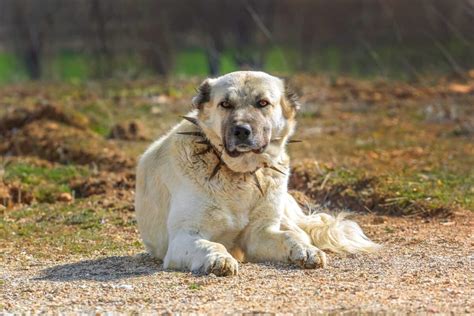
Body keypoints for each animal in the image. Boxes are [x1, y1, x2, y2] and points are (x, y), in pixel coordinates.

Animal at [135, 71, 380, 276]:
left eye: (263, 103)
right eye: (225, 104)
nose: (242, 130)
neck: (238, 175)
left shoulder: (260, 233)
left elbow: (288, 237)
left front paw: (306, 251)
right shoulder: (184, 236)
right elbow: (210, 244)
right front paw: (219, 258)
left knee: (299, 231)